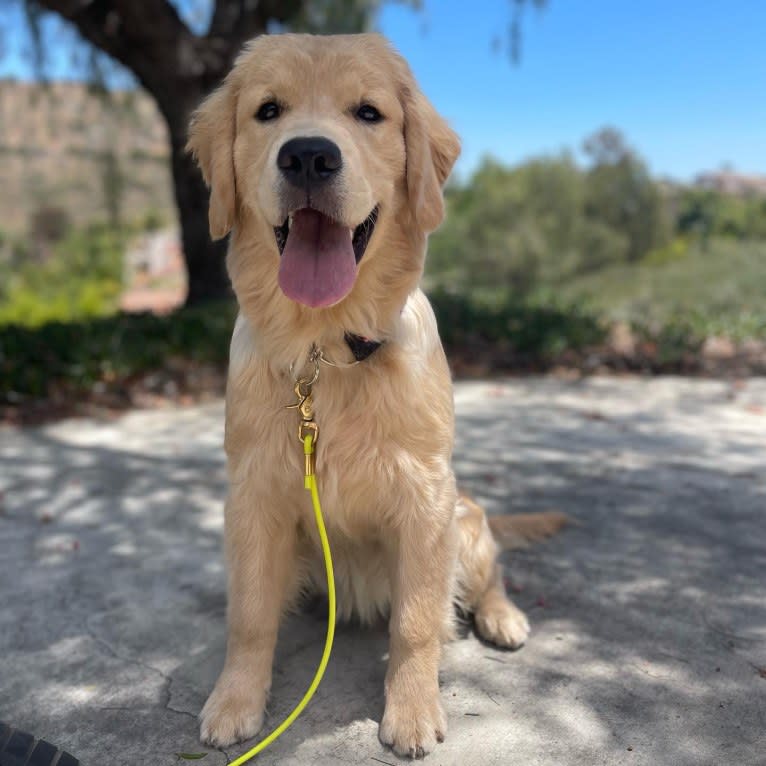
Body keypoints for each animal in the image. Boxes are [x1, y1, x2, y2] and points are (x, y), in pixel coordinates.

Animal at [189, 33, 568, 760]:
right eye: (268, 110)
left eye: (368, 113)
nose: (309, 155)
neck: (326, 351)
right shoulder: (253, 494)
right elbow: (248, 616)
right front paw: (235, 701)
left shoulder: (427, 497)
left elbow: (417, 623)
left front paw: (412, 711)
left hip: (466, 517)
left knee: (489, 572)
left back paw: (503, 617)